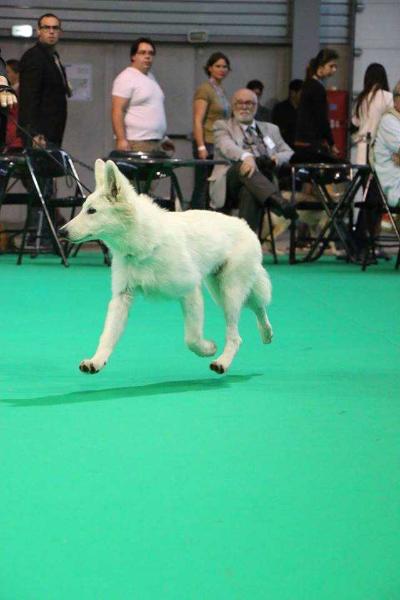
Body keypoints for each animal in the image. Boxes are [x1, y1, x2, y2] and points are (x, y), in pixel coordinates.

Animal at [61, 159, 274, 376]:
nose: (61, 232)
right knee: (258, 307)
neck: (143, 243)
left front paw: (208, 349)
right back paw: (267, 333)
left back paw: (222, 361)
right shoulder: (122, 297)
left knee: (236, 335)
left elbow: (191, 338)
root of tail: (245, 225)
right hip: (221, 292)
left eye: (92, 211)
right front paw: (96, 361)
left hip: (229, 293)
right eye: (83, 208)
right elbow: (107, 335)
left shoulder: (190, 291)